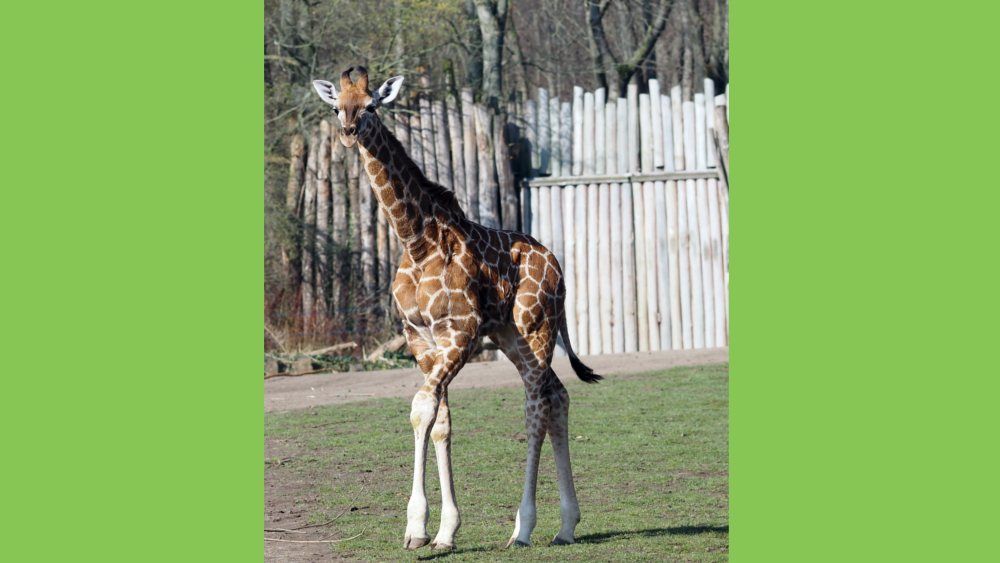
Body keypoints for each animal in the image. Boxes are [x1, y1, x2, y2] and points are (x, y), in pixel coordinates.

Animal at [312, 66, 596, 552]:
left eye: (371, 105)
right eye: (337, 107)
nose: (348, 132)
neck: (416, 241)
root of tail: (559, 268)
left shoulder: (460, 331)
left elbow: (421, 408)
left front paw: (417, 526)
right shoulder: (420, 337)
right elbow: (440, 419)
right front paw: (439, 531)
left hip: (537, 328)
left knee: (536, 408)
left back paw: (523, 528)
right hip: (512, 336)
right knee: (557, 396)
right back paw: (565, 525)